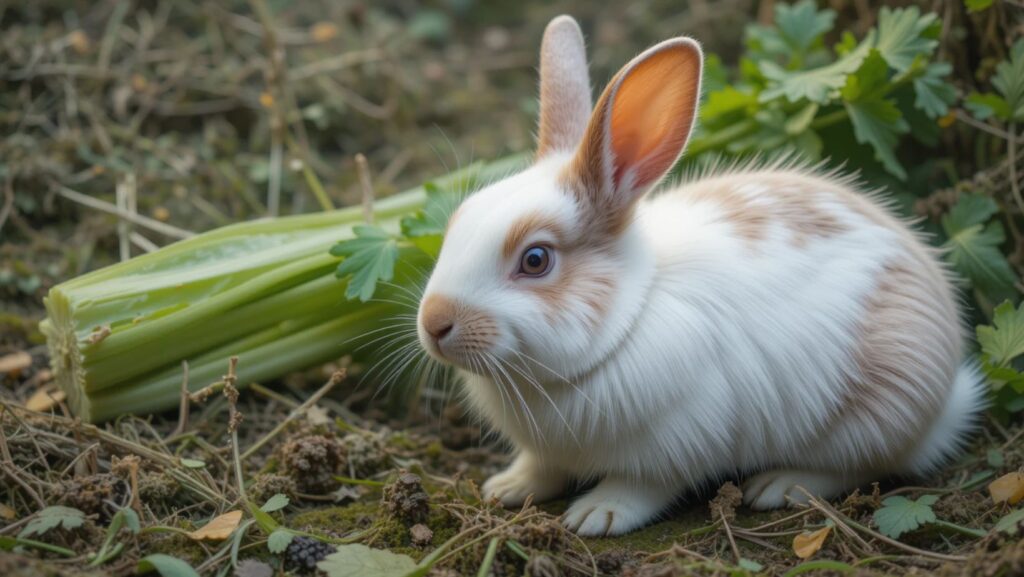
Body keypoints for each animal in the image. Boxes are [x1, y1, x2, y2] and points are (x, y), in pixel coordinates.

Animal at [415, 15, 986, 536]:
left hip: (873, 416)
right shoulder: (548, 451)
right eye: (458, 219)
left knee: (867, 463)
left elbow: (642, 487)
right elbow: (541, 468)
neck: (623, 326)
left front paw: (596, 515)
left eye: (535, 260)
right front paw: (506, 487)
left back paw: (779, 484)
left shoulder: (675, 445)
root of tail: (948, 395)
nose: (434, 325)